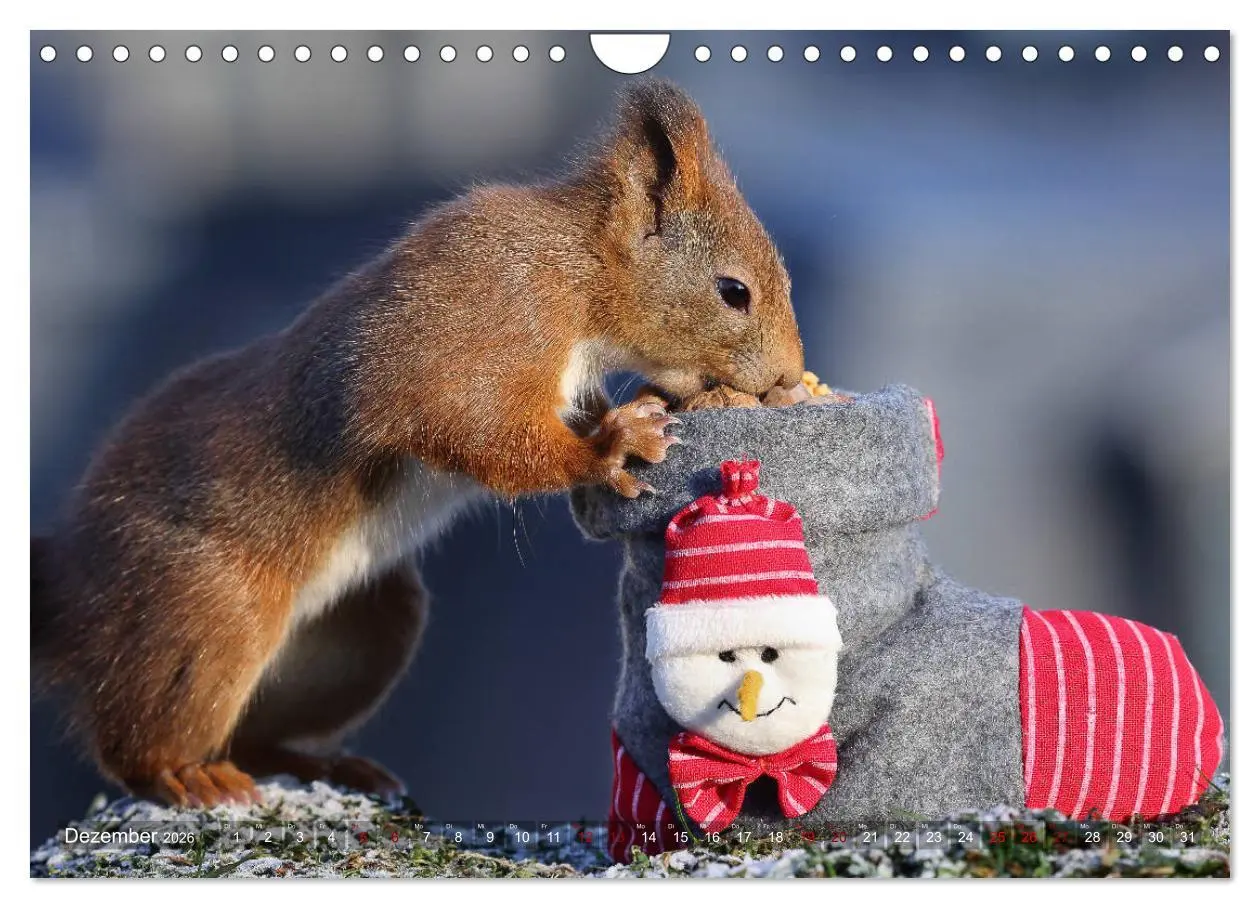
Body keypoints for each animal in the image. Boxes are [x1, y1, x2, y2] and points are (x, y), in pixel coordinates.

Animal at [30, 78, 805, 809]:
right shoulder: (485, 318)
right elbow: (470, 424)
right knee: (140, 735)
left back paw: (321, 762)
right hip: (202, 617)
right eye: (734, 291)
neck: (577, 272)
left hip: (364, 630)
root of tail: (71, 582)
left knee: (255, 735)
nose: (789, 377)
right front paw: (613, 444)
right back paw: (185, 772)